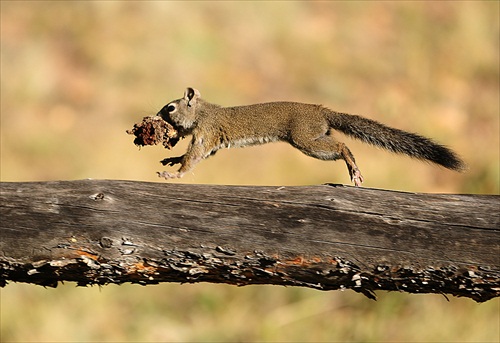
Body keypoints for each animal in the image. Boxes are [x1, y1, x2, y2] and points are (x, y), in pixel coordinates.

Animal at [156, 87, 464, 187]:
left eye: (170, 107)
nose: (157, 115)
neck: (202, 112)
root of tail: (322, 111)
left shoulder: (206, 132)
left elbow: (194, 157)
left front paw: (174, 174)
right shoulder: (212, 141)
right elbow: (195, 155)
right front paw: (173, 159)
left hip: (305, 138)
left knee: (341, 145)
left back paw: (353, 168)